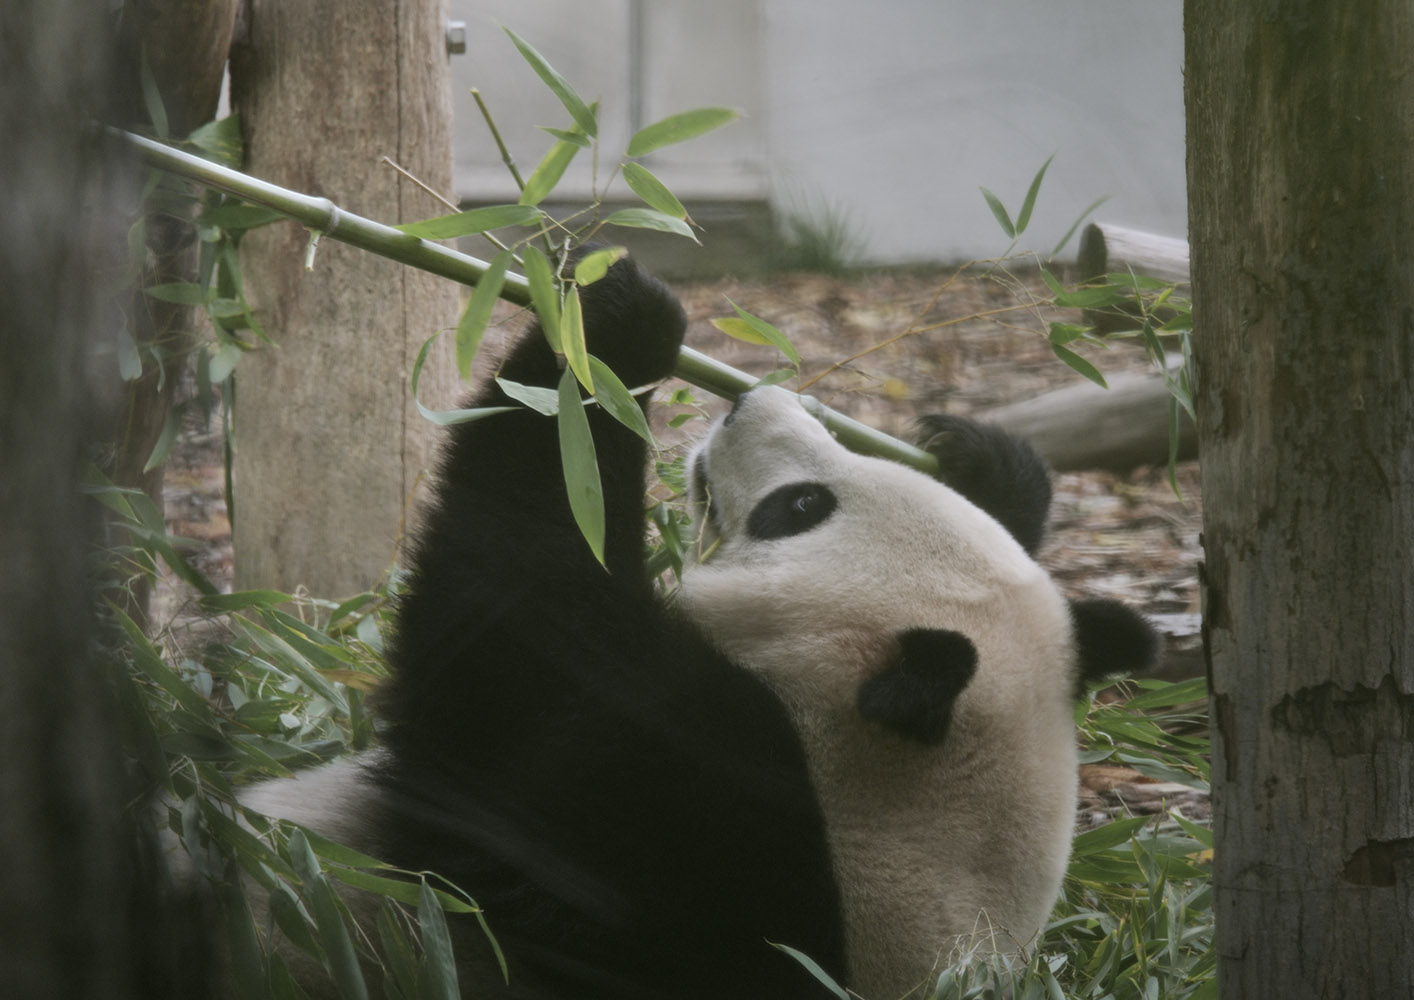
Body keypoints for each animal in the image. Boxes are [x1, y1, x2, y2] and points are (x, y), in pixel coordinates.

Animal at [240, 251, 1157, 1000]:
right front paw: (990, 465)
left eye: (802, 507)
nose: (752, 398)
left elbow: (514, 620)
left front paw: (618, 324)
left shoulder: (667, 827)